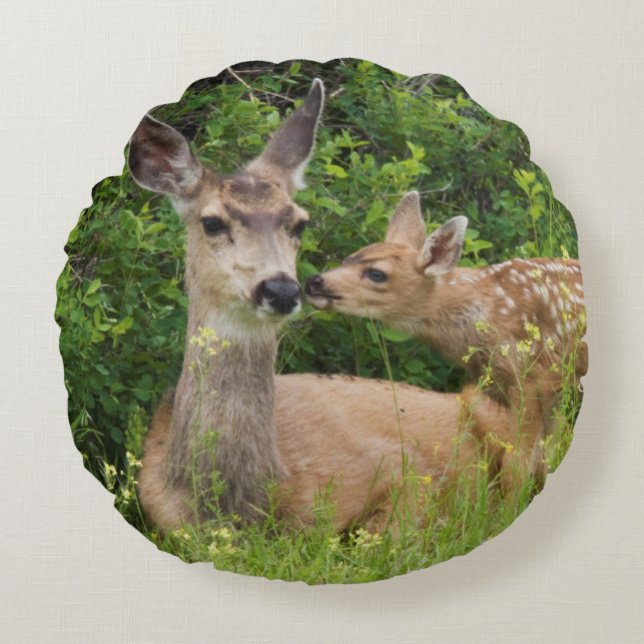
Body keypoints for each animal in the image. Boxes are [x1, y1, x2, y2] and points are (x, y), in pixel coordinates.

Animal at [306, 191, 587, 492]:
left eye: (377, 273)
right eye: (348, 258)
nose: (314, 282)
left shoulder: (534, 377)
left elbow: (518, 466)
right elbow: (544, 459)